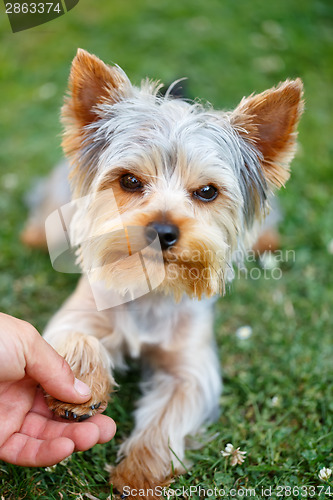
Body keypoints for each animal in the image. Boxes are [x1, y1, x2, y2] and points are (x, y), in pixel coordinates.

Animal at [41, 49, 300, 496]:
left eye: (208, 192)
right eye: (129, 180)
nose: (162, 231)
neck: (151, 287)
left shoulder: (190, 365)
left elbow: (173, 409)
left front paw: (140, 473)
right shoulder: (79, 311)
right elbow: (72, 336)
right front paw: (81, 389)